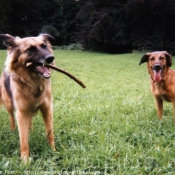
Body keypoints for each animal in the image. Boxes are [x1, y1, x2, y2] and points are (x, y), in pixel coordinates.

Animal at [0, 33, 55, 164]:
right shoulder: (21, 113)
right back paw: (13, 129)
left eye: (44, 46)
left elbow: (50, 133)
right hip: (10, 104)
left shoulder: (47, 109)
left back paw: (31, 129)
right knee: (11, 117)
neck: (33, 83)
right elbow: (23, 139)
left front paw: (53, 150)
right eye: (30, 49)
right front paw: (25, 161)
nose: (51, 58)